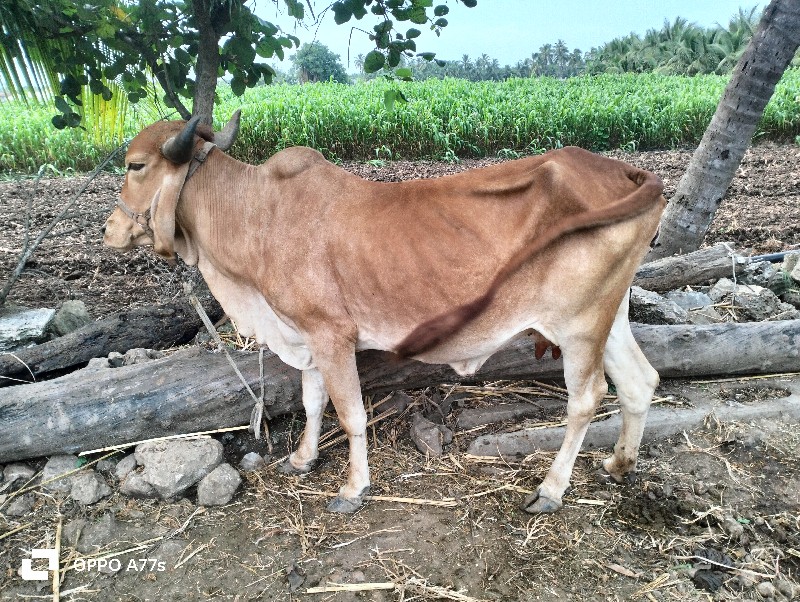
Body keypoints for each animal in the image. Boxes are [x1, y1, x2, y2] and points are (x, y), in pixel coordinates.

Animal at [104, 111, 668, 510]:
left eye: (135, 166)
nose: (109, 230)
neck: (257, 215)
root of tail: (625, 170)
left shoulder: (331, 334)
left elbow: (350, 414)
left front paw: (354, 488)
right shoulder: (306, 336)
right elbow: (313, 403)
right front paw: (303, 459)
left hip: (577, 327)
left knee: (588, 398)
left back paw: (551, 489)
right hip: (608, 319)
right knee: (640, 381)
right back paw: (619, 465)